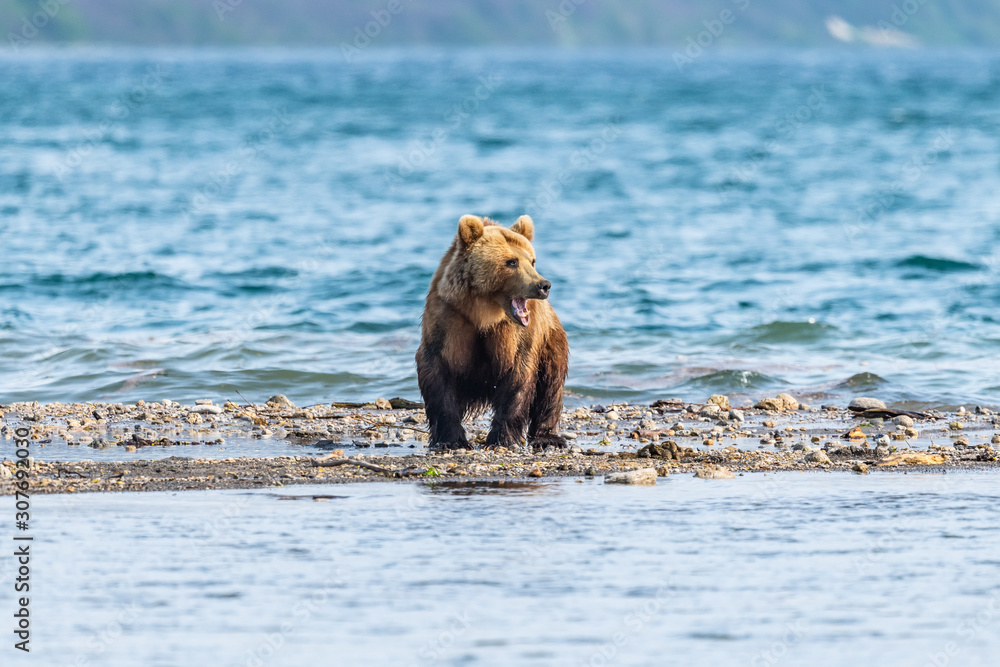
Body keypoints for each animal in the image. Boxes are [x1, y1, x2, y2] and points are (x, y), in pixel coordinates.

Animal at [416, 214, 569, 451]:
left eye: (532, 260)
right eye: (512, 261)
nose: (543, 285)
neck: (483, 312)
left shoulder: (516, 334)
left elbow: (518, 376)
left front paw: (502, 438)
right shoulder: (448, 320)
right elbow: (437, 374)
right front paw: (451, 440)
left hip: (551, 341)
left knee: (550, 385)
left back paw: (547, 437)